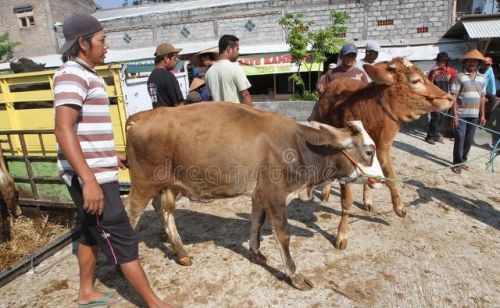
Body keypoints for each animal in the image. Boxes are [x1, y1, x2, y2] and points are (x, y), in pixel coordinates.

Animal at [125, 102, 382, 290]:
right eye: (369, 151)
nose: (380, 179)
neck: (298, 145)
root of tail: (139, 116)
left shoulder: (259, 194)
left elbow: (257, 221)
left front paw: (255, 252)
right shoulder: (275, 196)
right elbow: (283, 236)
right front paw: (295, 274)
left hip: (166, 185)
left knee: (163, 210)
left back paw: (180, 252)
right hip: (142, 185)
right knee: (131, 216)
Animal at [310, 57, 456, 250]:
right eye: (415, 81)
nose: (450, 98)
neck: (368, 115)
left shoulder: (383, 148)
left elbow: (390, 176)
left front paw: (399, 207)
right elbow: (346, 200)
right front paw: (342, 235)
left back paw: (367, 200)